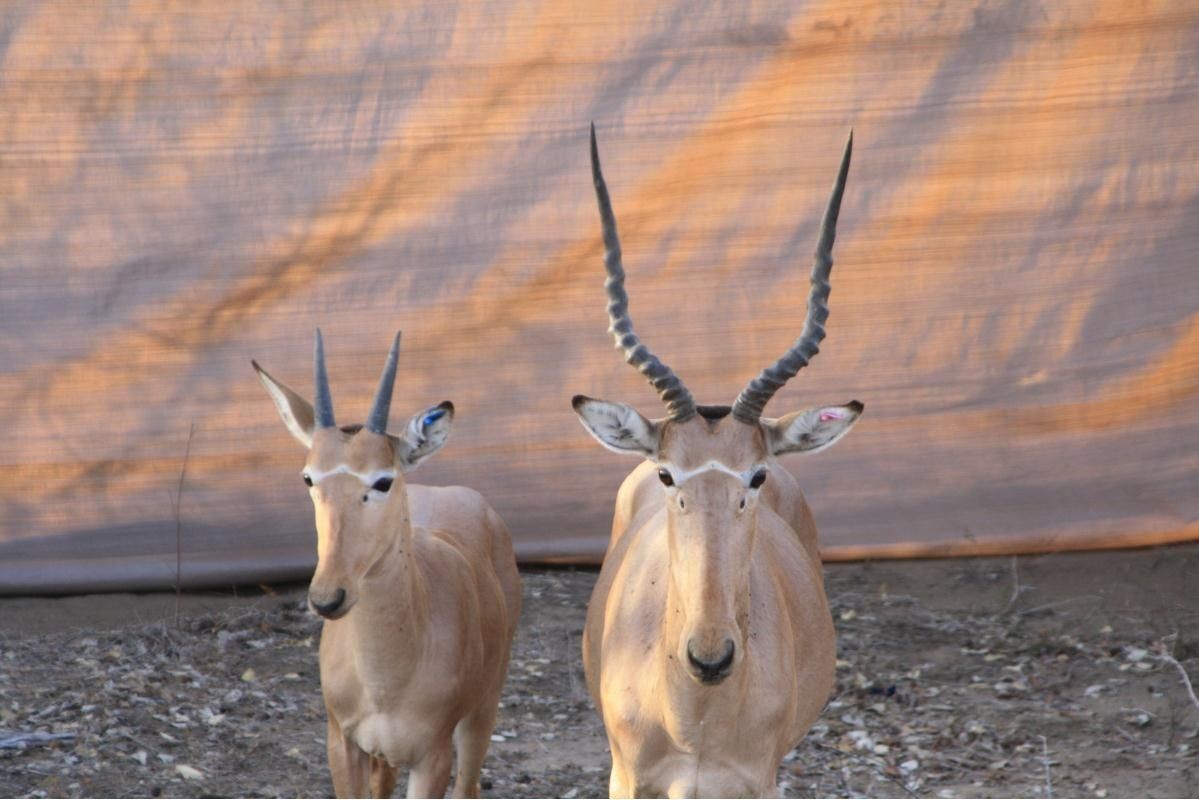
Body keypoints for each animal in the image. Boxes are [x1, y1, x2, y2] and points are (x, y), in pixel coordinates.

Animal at [252, 331, 520, 796]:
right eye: (308, 477)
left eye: (382, 481)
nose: (328, 598)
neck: (385, 683)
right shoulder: (343, 744)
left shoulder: (432, 757)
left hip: (481, 712)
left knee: (469, 783)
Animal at [573, 128, 863, 796]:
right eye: (667, 474)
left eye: (755, 476)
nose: (712, 656)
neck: (694, 720)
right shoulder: (627, 779)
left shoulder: (758, 782)